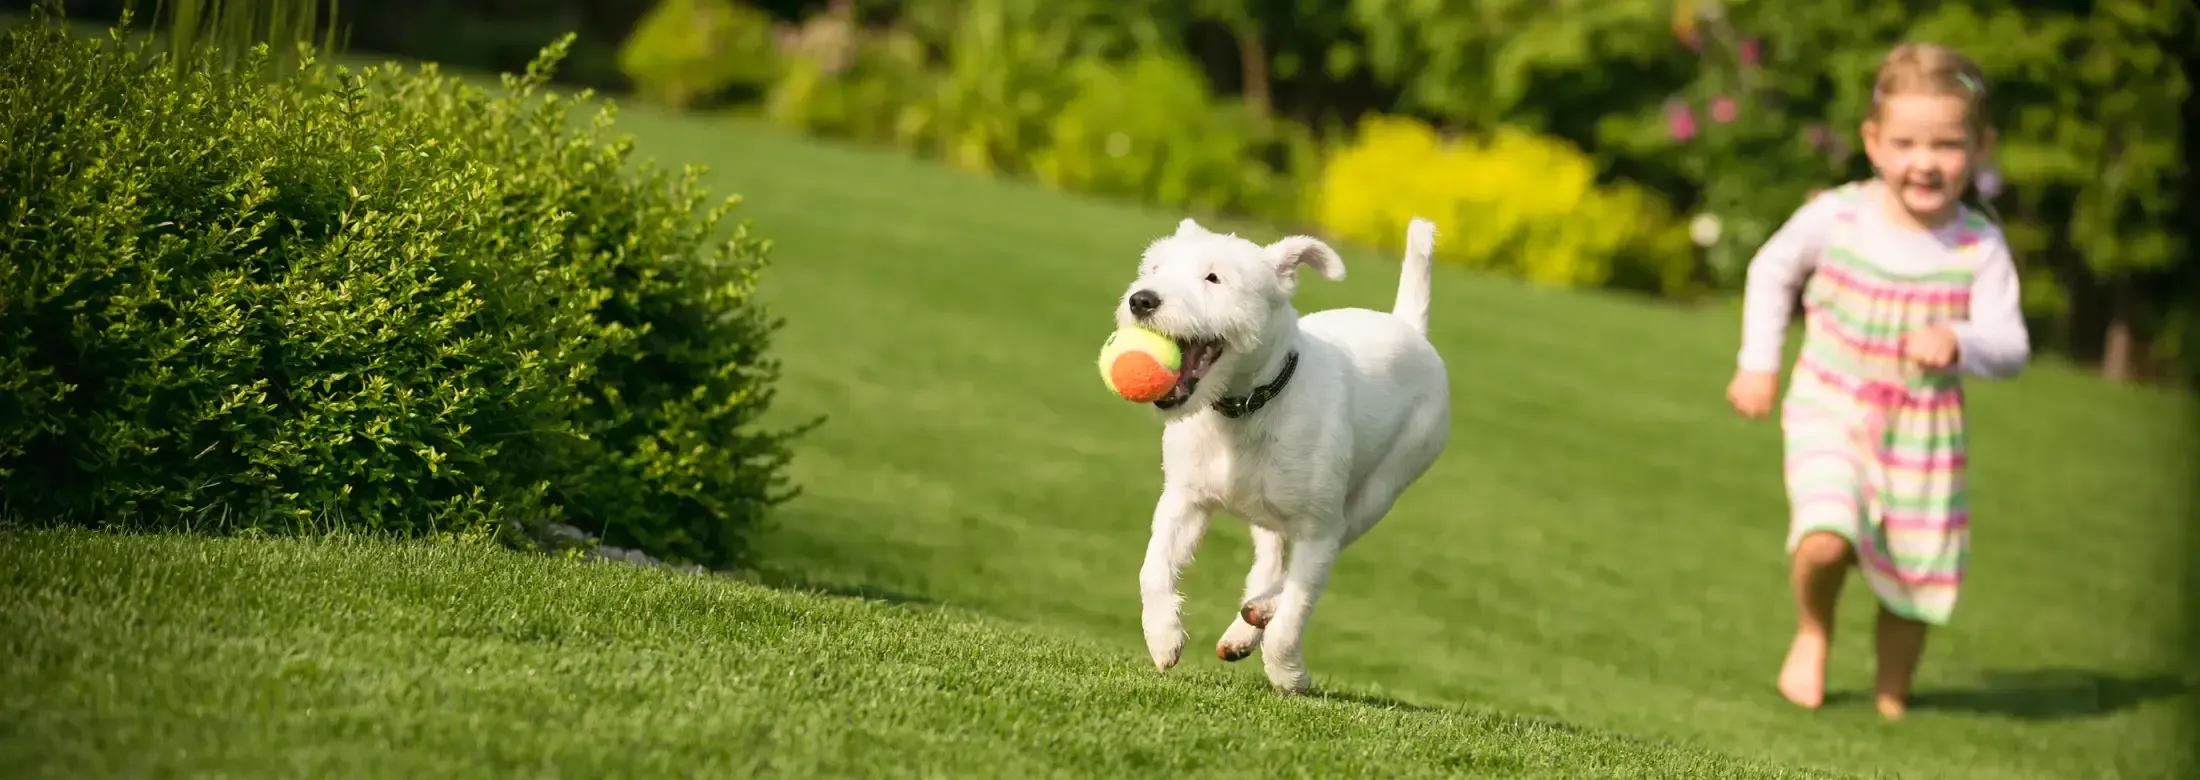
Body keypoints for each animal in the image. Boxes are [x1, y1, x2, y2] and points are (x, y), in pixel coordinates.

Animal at [1108, 215, 1452, 698]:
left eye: (1213, 278)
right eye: (1154, 268)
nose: (1142, 299)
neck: (1246, 407)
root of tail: (1409, 327)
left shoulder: (1319, 530)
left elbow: (1295, 611)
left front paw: (1289, 674)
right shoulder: (1184, 500)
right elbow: (1153, 569)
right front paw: (1163, 638)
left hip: (1382, 489)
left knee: (1315, 558)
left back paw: (1261, 614)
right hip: (1268, 510)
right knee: (1268, 561)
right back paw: (1243, 628)